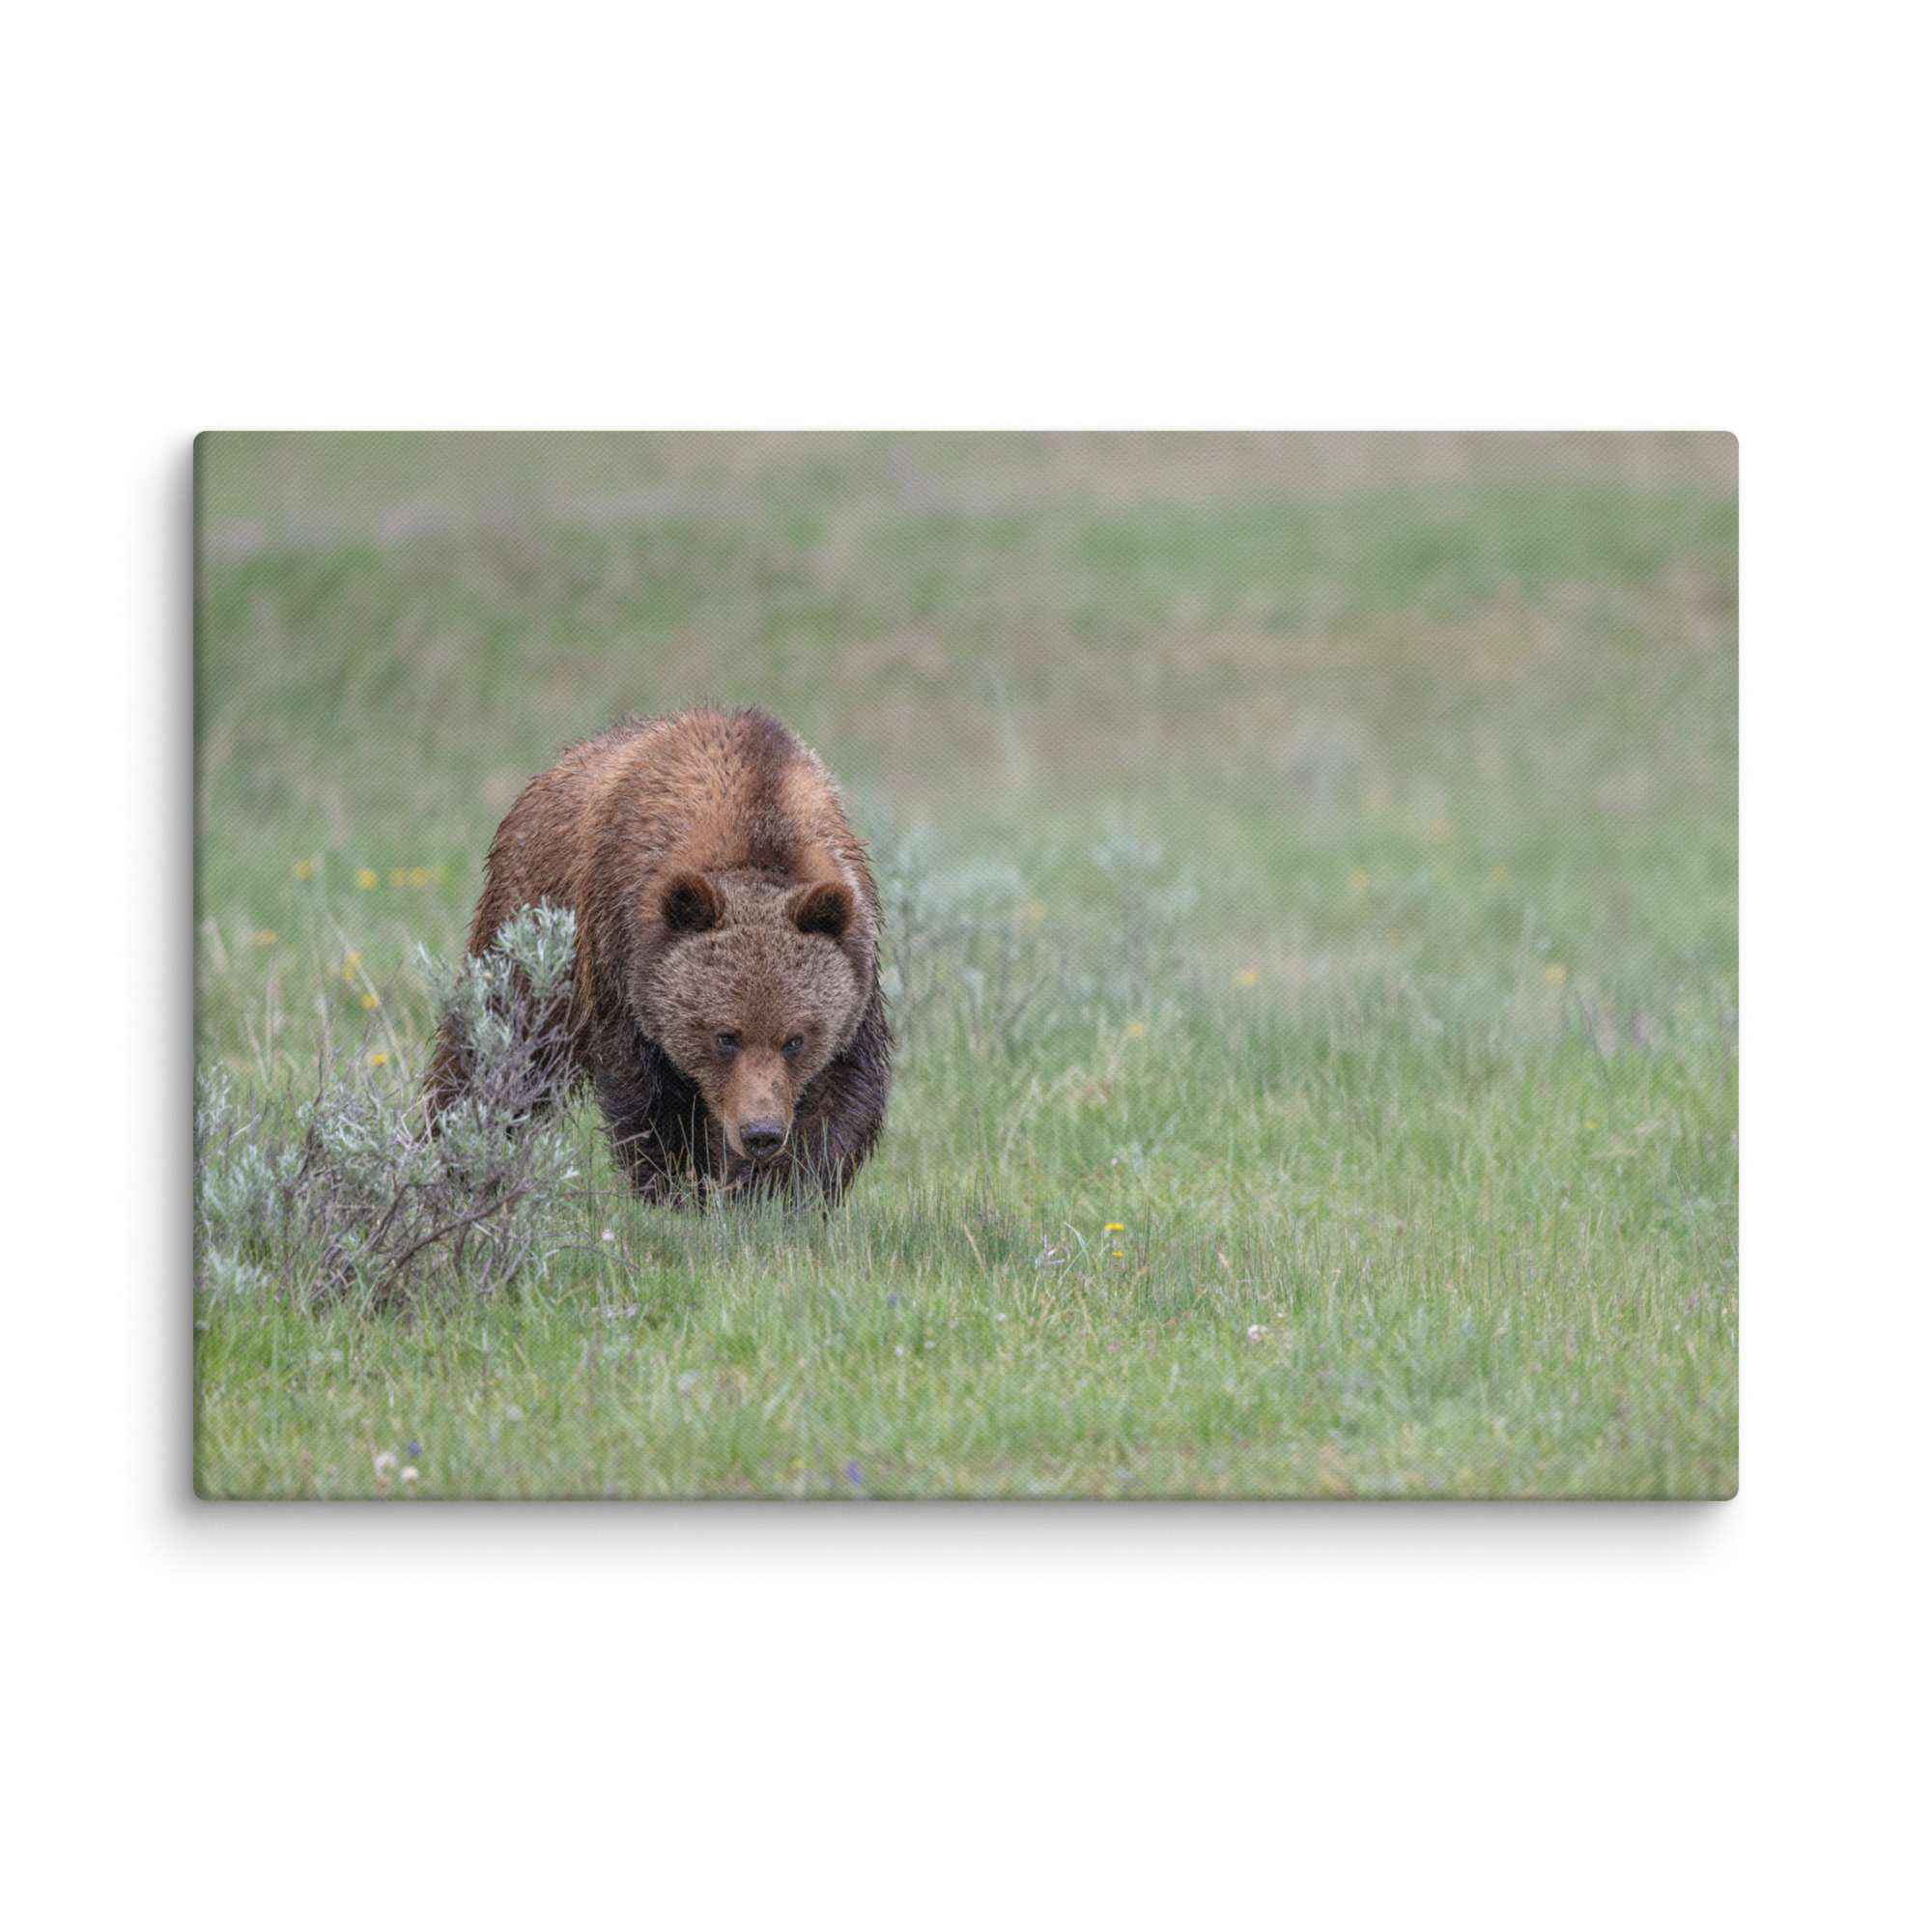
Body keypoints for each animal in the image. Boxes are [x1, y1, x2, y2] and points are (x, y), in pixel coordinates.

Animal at [427, 706, 891, 1205]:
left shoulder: (855, 968)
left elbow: (840, 1094)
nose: (761, 1133)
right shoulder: (622, 956)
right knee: (495, 1047)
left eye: (795, 1040)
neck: (757, 826)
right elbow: (650, 1097)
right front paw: (679, 1188)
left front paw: (778, 1192)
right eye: (725, 1036)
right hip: (531, 928)